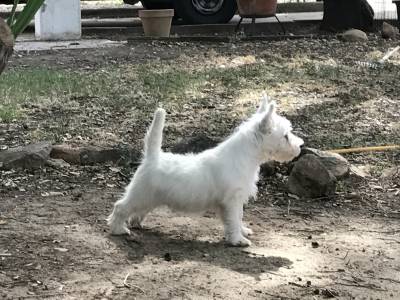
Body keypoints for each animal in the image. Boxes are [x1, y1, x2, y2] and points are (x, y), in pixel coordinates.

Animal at [107, 94, 304, 246]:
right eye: (285, 136)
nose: (301, 146)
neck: (245, 156)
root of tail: (152, 156)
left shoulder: (235, 201)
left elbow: (238, 218)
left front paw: (242, 231)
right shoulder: (232, 200)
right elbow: (234, 219)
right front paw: (238, 240)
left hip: (150, 197)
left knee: (137, 211)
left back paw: (136, 223)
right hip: (140, 194)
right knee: (120, 207)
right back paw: (118, 229)